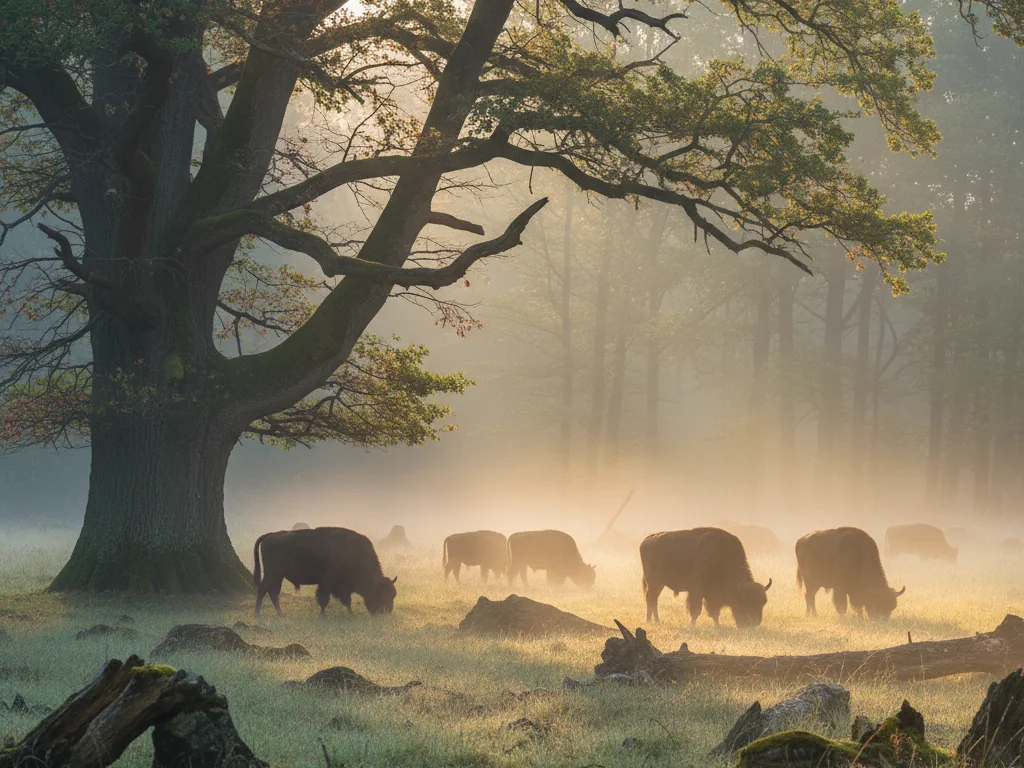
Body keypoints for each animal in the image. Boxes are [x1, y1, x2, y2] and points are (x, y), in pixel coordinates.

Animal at [253, 527, 397, 616]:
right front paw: (324, 615)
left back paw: (278, 614)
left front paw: (349, 613)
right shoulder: (328, 583)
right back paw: (259, 615)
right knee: (264, 589)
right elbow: (326, 599)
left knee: (272, 592)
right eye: (380, 593)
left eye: (393, 594)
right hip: (273, 574)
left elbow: (346, 600)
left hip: (277, 575)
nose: (387, 611)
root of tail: (269, 535)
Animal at [640, 528, 772, 627]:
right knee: (651, 600)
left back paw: (654, 621)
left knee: (653, 600)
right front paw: (692, 626)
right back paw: (652, 621)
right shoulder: (697, 591)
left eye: (763, 602)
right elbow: (696, 610)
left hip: (658, 584)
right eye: (745, 602)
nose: (755, 623)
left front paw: (718, 626)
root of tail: (646, 540)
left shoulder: (711, 595)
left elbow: (714, 612)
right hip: (654, 583)